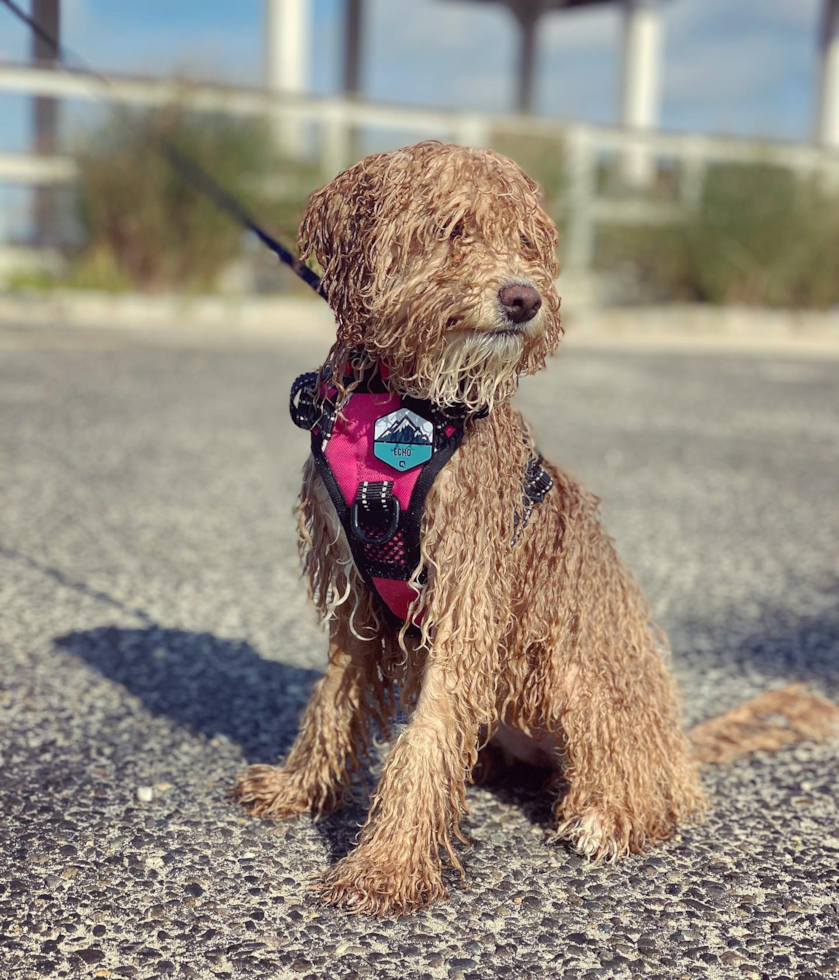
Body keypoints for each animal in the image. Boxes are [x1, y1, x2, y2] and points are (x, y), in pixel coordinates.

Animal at [231, 142, 839, 916]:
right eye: (452, 228)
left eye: (526, 240)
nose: (524, 299)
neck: (399, 402)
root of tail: (673, 743)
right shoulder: (357, 598)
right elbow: (332, 700)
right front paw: (299, 789)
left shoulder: (467, 597)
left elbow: (424, 736)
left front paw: (386, 866)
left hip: (575, 666)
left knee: (655, 792)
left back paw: (606, 815)